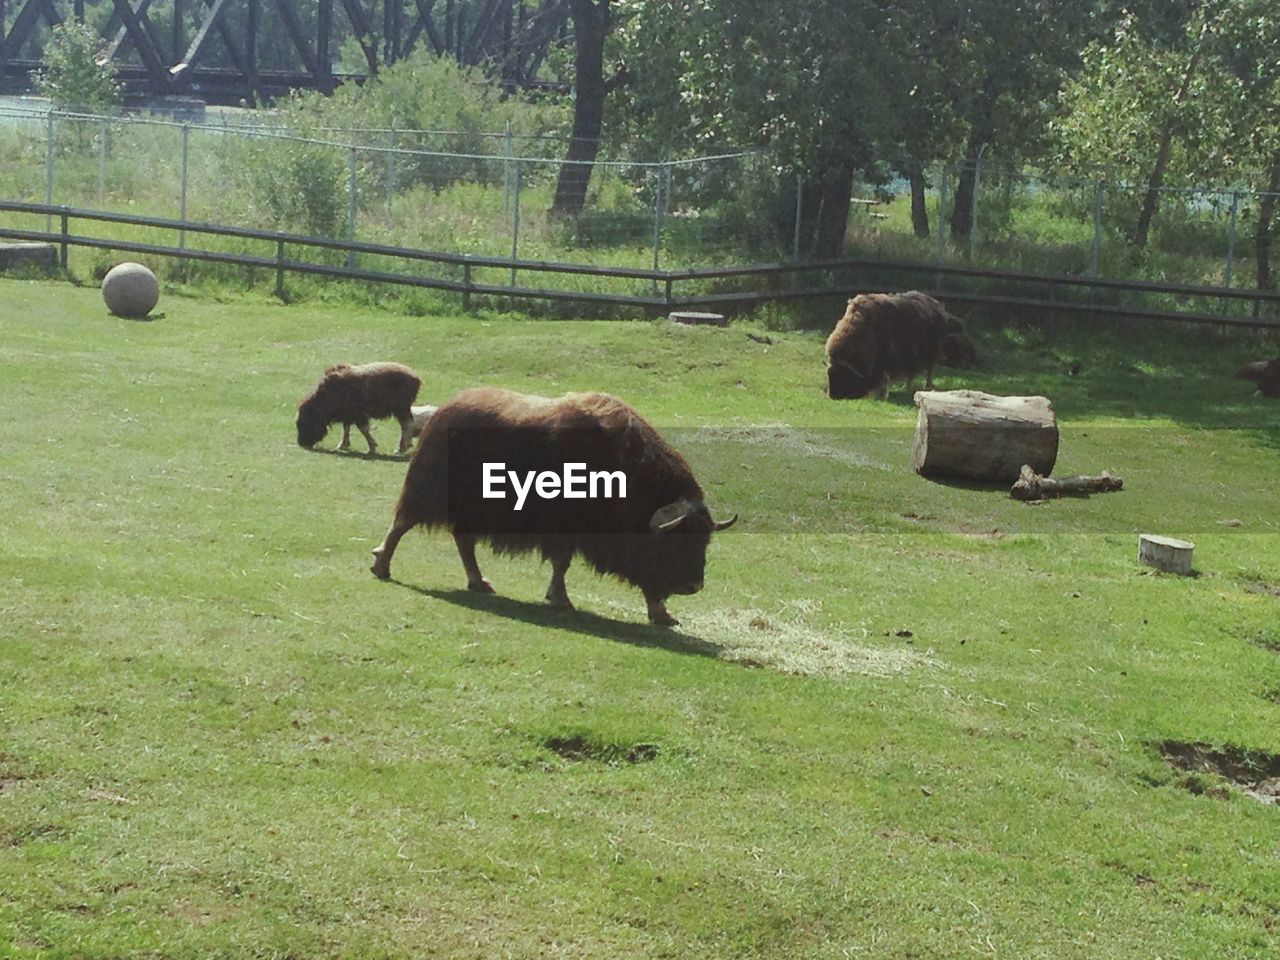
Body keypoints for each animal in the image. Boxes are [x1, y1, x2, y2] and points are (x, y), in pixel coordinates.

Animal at [366, 386, 737, 627]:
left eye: (704, 541)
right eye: (675, 542)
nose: (694, 586)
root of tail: (444, 409)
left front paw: (663, 615)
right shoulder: (565, 530)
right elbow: (562, 564)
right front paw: (561, 599)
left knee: (464, 543)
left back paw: (479, 582)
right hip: (427, 492)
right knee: (401, 525)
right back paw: (381, 566)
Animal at [824, 291, 972, 399]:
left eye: (844, 375)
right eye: (830, 374)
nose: (833, 396)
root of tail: (937, 306)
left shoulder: (884, 362)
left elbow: (883, 377)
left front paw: (881, 395)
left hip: (930, 354)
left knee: (928, 370)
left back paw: (924, 387)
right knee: (912, 374)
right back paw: (906, 388)